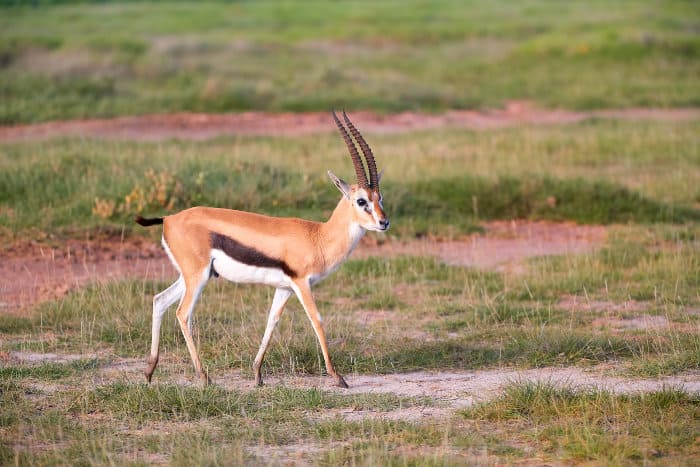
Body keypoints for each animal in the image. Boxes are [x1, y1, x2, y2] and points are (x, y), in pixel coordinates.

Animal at [135, 111, 388, 388]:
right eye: (361, 201)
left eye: (380, 198)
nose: (384, 222)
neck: (318, 237)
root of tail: (169, 219)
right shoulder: (302, 284)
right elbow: (317, 320)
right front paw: (338, 377)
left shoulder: (284, 288)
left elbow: (271, 321)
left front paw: (257, 374)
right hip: (197, 277)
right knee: (182, 313)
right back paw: (204, 377)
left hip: (192, 276)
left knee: (159, 300)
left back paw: (149, 372)